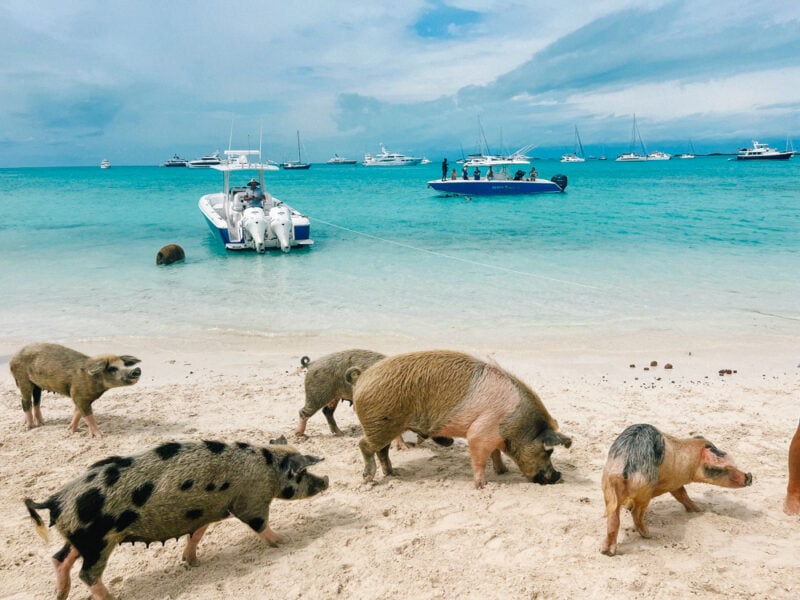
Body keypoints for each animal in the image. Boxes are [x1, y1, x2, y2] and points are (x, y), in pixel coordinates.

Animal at [9, 344, 144, 438]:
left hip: (37, 385)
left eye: (124, 365)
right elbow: (88, 415)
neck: (94, 380)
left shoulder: (80, 396)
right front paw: (100, 436)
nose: (136, 370)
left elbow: (77, 413)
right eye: (112, 368)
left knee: (36, 401)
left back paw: (40, 423)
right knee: (25, 401)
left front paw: (71, 431)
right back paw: (29, 427)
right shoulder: (79, 395)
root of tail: (13, 357)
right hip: (22, 379)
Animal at [24, 440, 328, 600]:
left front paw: (192, 562)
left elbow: (197, 533)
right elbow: (259, 525)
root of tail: (56, 501)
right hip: (99, 540)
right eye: (302, 473)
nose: (326, 480)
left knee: (59, 558)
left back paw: (60, 594)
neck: (268, 470)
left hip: (82, 538)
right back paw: (111, 598)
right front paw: (285, 541)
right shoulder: (250, 503)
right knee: (86, 574)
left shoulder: (208, 510)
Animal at [354, 352, 572, 488]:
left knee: (382, 450)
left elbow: (495, 453)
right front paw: (483, 486)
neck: (516, 425)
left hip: (386, 426)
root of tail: (361, 382)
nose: (557, 476)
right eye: (548, 451)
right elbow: (480, 457)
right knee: (364, 445)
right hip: (381, 424)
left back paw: (393, 473)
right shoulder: (480, 432)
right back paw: (368, 478)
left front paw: (503, 471)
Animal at [604, 424, 752, 556]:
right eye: (724, 467)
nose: (749, 476)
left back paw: (607, 551)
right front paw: (700, 510)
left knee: (614, 517)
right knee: (636, 512)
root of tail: (627, 463)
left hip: (608, 486)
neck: (691, 463)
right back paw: (648, 534)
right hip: (645, 489)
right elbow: (682, 494)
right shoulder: (674, 482)